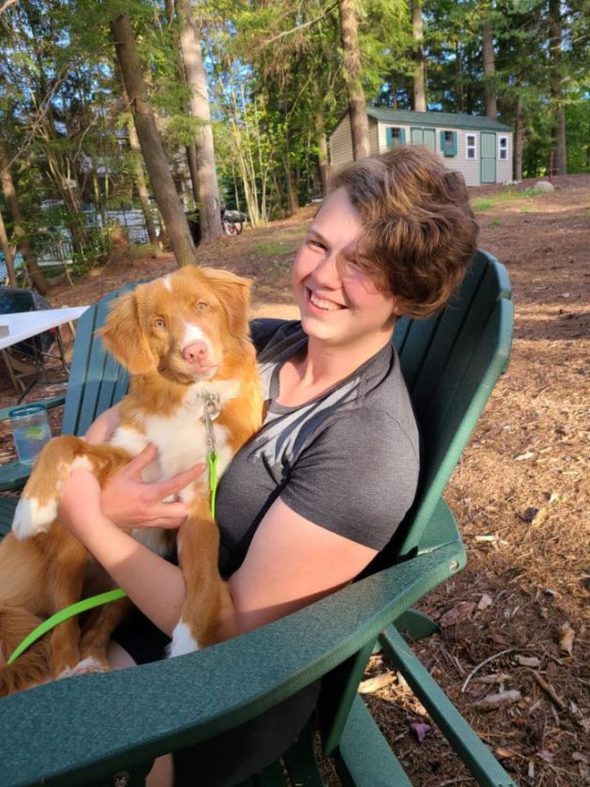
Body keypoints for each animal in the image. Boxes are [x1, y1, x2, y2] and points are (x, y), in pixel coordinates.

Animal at [0, 266, 264, 696]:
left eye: (202, 306)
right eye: (158, 323)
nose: (195, 352)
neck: (193, 402)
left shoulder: (197, 505)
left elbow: (205, 580)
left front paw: (189, 643)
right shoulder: (125, 457)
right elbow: (61, 442)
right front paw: (31, 509)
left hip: (124, 587)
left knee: (95, 628)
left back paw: (93, 661)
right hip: (70, 552)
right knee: (62, 631)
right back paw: (69, 669)